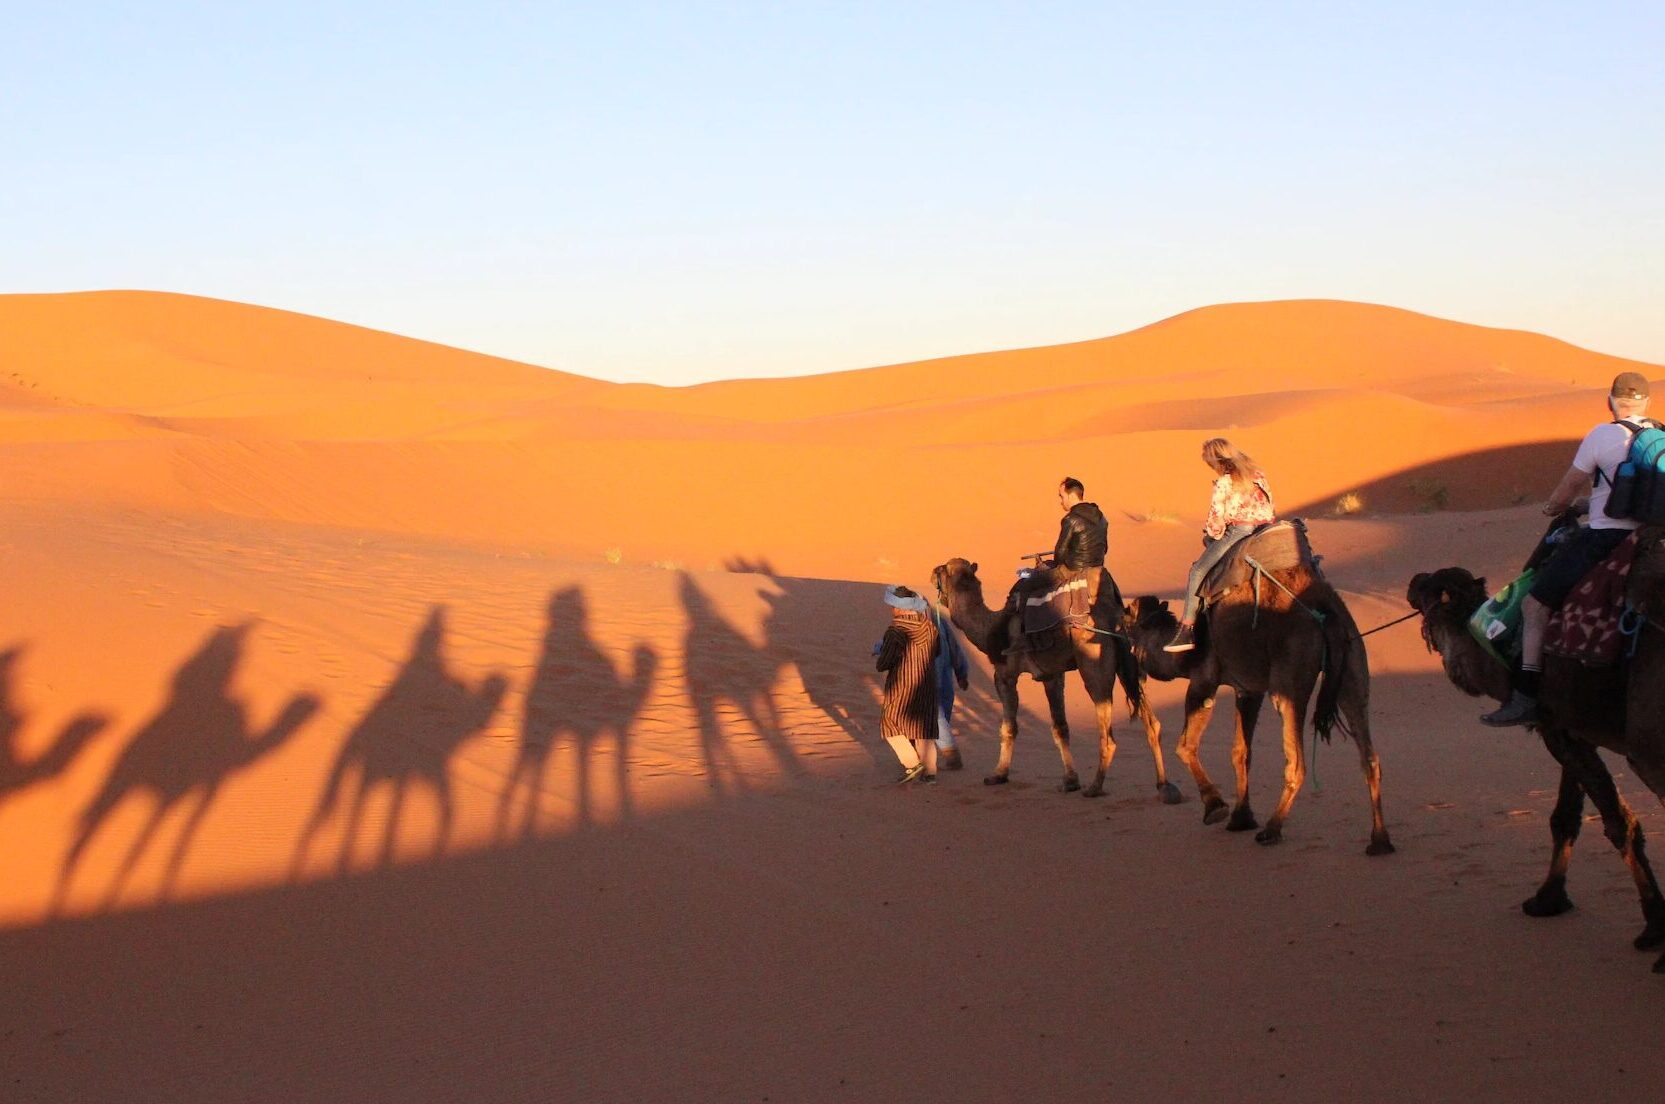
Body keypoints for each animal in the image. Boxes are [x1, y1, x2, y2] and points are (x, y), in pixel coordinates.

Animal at [925, 562, 1172, 802]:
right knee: (1152, 724)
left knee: (1108, 735)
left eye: (942, 569)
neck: (992, 627)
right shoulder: (1052, 676)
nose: (931, 573)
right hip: (1131, 666)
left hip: (1094, 664)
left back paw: (1094, 787)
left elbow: (1009, 727)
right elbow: (1060, 727)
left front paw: (998, 774)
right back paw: (1164, 787)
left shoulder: (1004, 674)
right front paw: (1070, 781)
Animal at [1118, 526, 1391, 852]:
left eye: (1126, 622)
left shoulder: (1204, 680)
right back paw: (1380, 841)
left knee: (1297, 761)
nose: (1128, 664)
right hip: (1353, 667)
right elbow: (1241, 752)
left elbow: (1185, 745)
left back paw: (1272, 829)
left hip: (1289, 679)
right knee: (1369, 753)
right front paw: (1241, 817)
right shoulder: (1247, 689)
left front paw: (1216, 807)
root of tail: (1325, 611)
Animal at [1405, 549, 1665, 972]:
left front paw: (1654, 928)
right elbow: (1565, 817)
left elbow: (1618, 823)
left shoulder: (1557, 725)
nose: (1413, 580)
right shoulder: (1565, 725)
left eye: (1431, 585)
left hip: (1650, 742)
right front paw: (1547, 900)